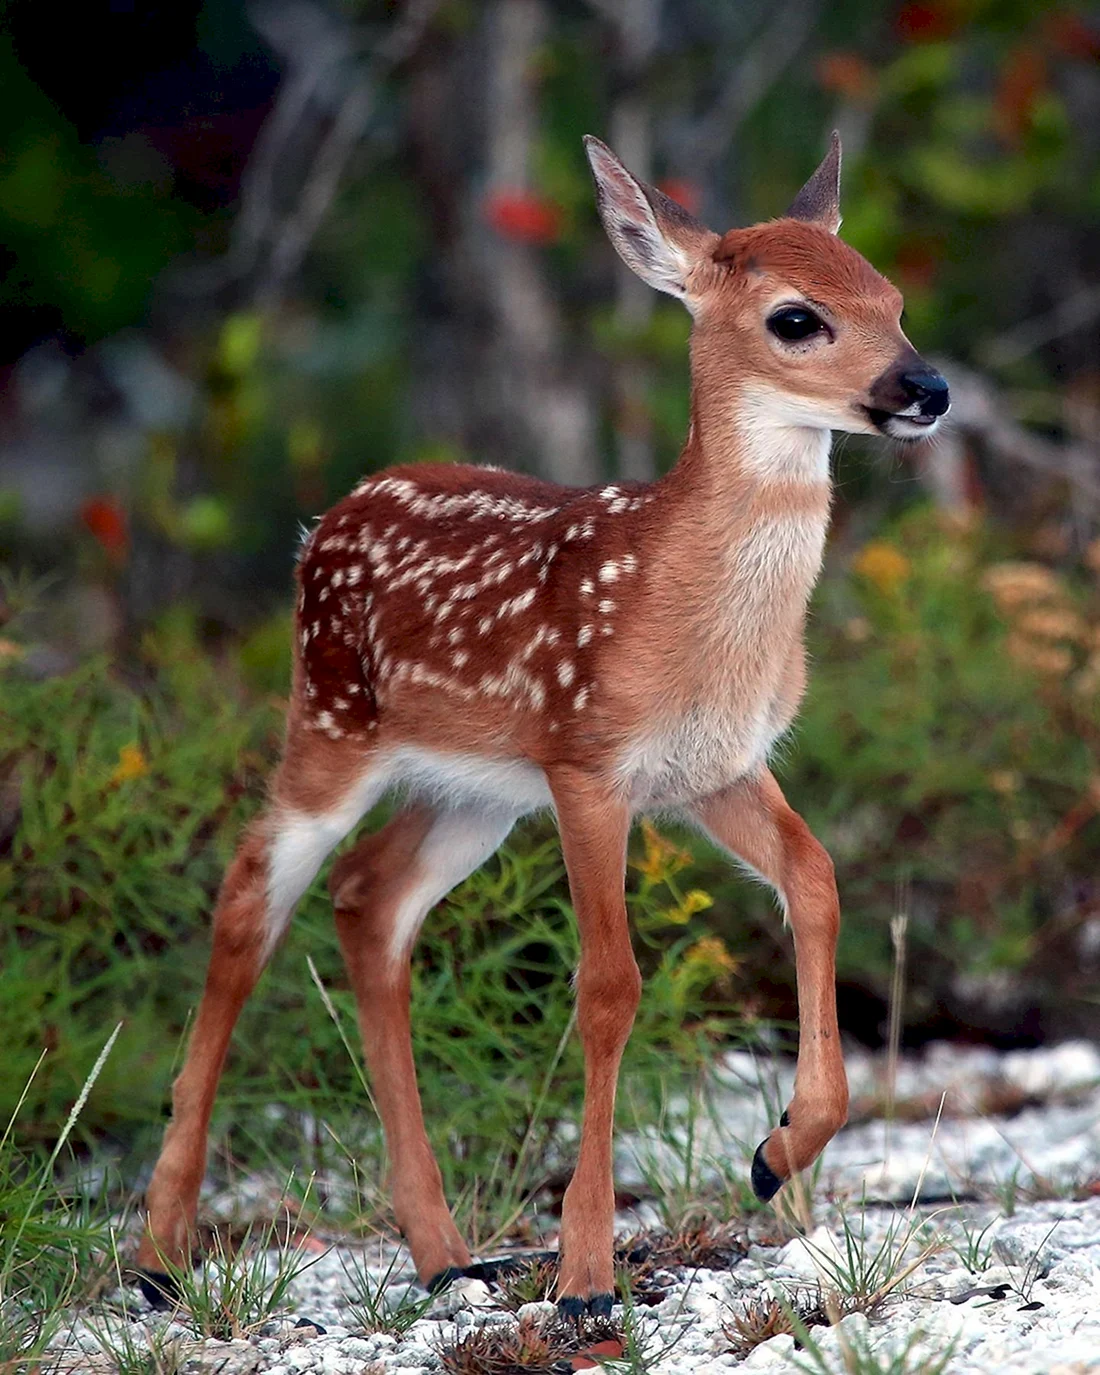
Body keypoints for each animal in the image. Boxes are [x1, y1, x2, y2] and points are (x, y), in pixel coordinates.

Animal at [135, 132, 949, 1318]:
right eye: (797, 317)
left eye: (892, 300)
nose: (926, 386)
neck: (683, 605)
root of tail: (324, 519)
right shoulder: (586, 759)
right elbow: (608, 984)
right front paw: (585, 1276)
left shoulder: (715, 768)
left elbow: (816, 877)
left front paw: (776, 1149)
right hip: (330, 722)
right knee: (247, 900)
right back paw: (158, 1252)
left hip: (472, 791)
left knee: (369, 899)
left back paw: (442, 1252)